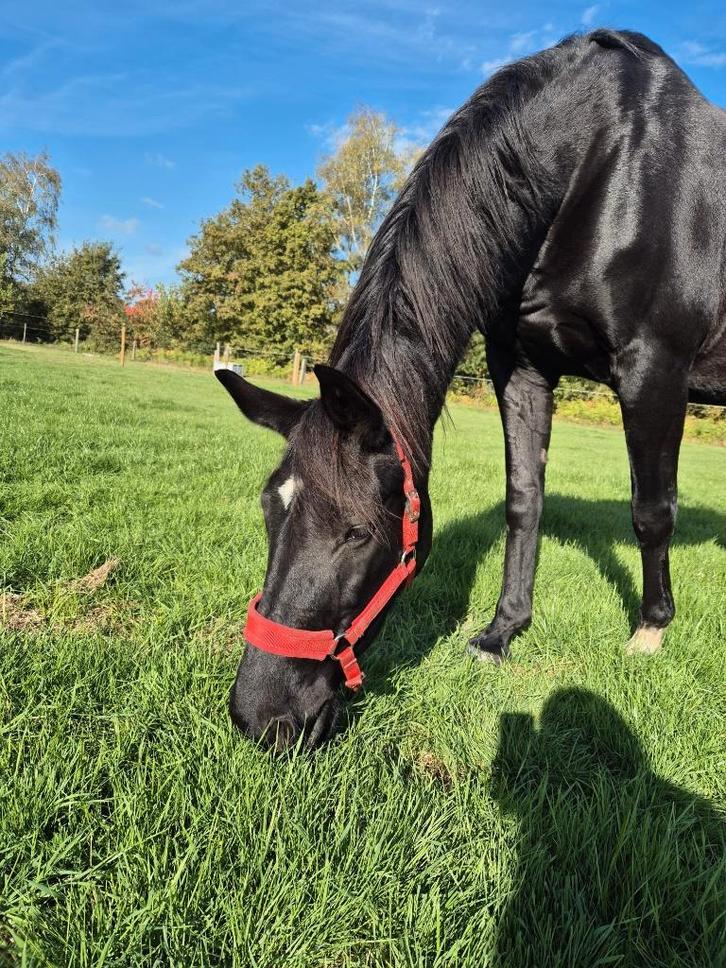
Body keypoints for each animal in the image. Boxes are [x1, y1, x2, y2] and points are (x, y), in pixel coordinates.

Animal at [215, 29, 726, 749]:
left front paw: (650, 631)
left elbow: (651, 510)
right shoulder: (522, 366)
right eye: (269, 510)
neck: (606, 166)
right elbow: (524, 502)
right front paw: (502, 632)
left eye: (356, 534)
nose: (261, 717)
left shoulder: (654, 369)